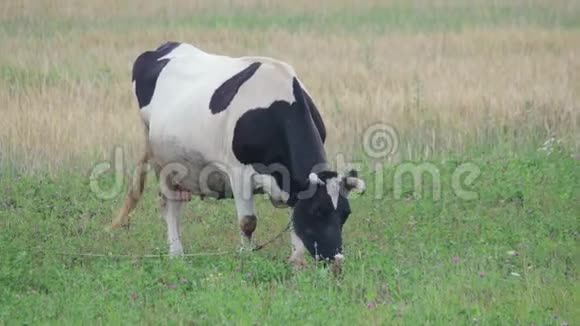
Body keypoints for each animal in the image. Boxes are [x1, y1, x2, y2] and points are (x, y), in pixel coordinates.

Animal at [111, 40, 364, 270]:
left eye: (346, 214)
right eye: (317, 211)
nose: (337, 260)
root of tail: (163, 47)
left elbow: (294, 219)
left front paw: (296, 262)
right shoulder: (238, 173)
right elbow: (247, 222)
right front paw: (247, 257)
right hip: (161, 161)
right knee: (169, 204)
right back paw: (176, 254)